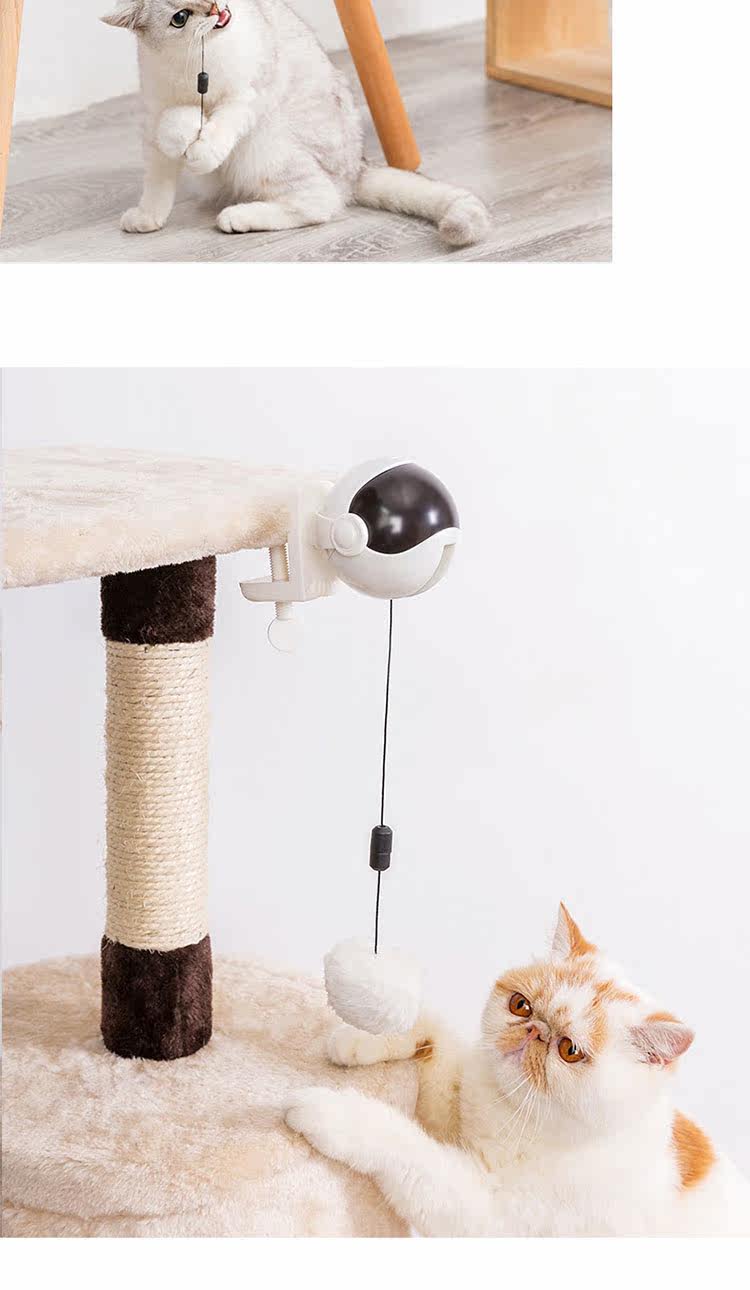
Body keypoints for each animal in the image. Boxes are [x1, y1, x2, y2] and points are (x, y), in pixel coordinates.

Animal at [101, 0, 490, 246]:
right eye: (180, 17)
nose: (213, 8)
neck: (193, 63)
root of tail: (357, 167)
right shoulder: (154, 118)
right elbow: (161, 169)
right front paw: (148, 217)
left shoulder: (248, 95)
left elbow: (222, 123)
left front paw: (202, 148)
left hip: (266, 146)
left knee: (320, 202)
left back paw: (238, 217)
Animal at [285, 904, 750, 1236]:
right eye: (521, 1006)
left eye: (569, 1050)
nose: (534, 1032)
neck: (517, 1114)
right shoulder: (460, 1114)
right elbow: (433, 1030)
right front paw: (359, 1037)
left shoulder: (486, 1211)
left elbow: (406, 1146)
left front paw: (332, 1113)